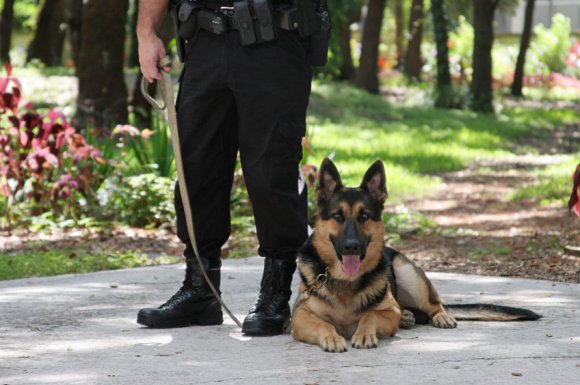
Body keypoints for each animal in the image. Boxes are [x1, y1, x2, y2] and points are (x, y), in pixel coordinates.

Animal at [292, 158, 540, 352]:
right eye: (337, 216)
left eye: (364, 216)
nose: (351, 247)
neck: (345, 281)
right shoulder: (300, 315)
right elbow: (324, 324)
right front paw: (332, 337)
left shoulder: (388, 310)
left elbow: (369, 315)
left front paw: (364, 333)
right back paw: (407, 317)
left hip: (407, 273)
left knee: (434, 304)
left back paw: (439, 316)